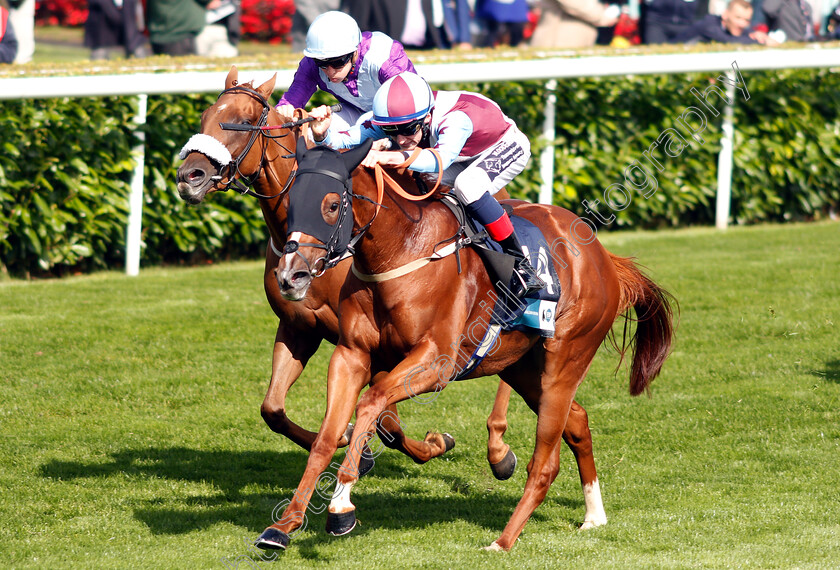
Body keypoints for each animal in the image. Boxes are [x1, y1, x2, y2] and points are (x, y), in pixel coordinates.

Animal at [179, 65, 604, 520]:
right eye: (206, 115)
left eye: (242, 120)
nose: (188, 177)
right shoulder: (301, 328)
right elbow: (274, 409)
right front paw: (346, 444)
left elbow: (386, 418)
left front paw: (405, 447)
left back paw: (499, 450)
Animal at [262, 140, 676, 548]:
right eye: (292, 202)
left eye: (332, 205)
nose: (291, 276)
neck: (402, 249)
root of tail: (606, 259)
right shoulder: (351, 355)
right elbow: (327, 437)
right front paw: (283, 526)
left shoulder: (435, 364)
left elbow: (370, 403)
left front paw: (340, 507)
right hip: (523, 368)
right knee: (576, 421)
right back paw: (593, 515)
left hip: (566, 359)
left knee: (545, 462)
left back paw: (505, 539)